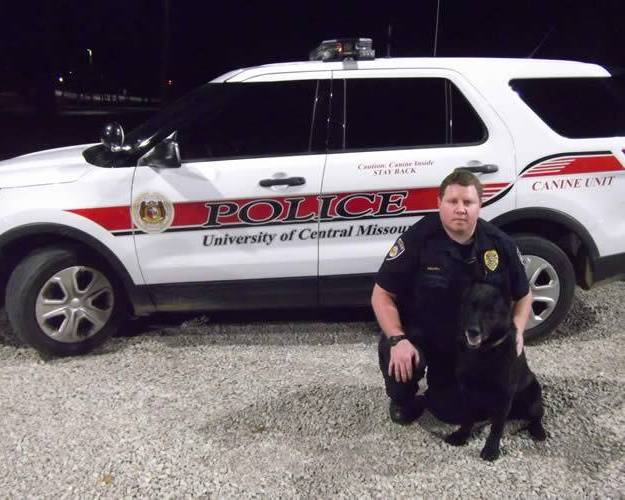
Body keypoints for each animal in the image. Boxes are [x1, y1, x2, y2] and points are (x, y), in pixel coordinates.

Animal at [446, 282, 544, 460]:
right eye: (471, 306)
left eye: (490, 311)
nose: (473, 331)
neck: (484, 352)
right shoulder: (466, 392)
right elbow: (467, 417)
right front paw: (462, 435)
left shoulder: (503, 396)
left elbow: (497, 427)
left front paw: (491, 449)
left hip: (533, 399)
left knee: (537, 416)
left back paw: (538, 430)